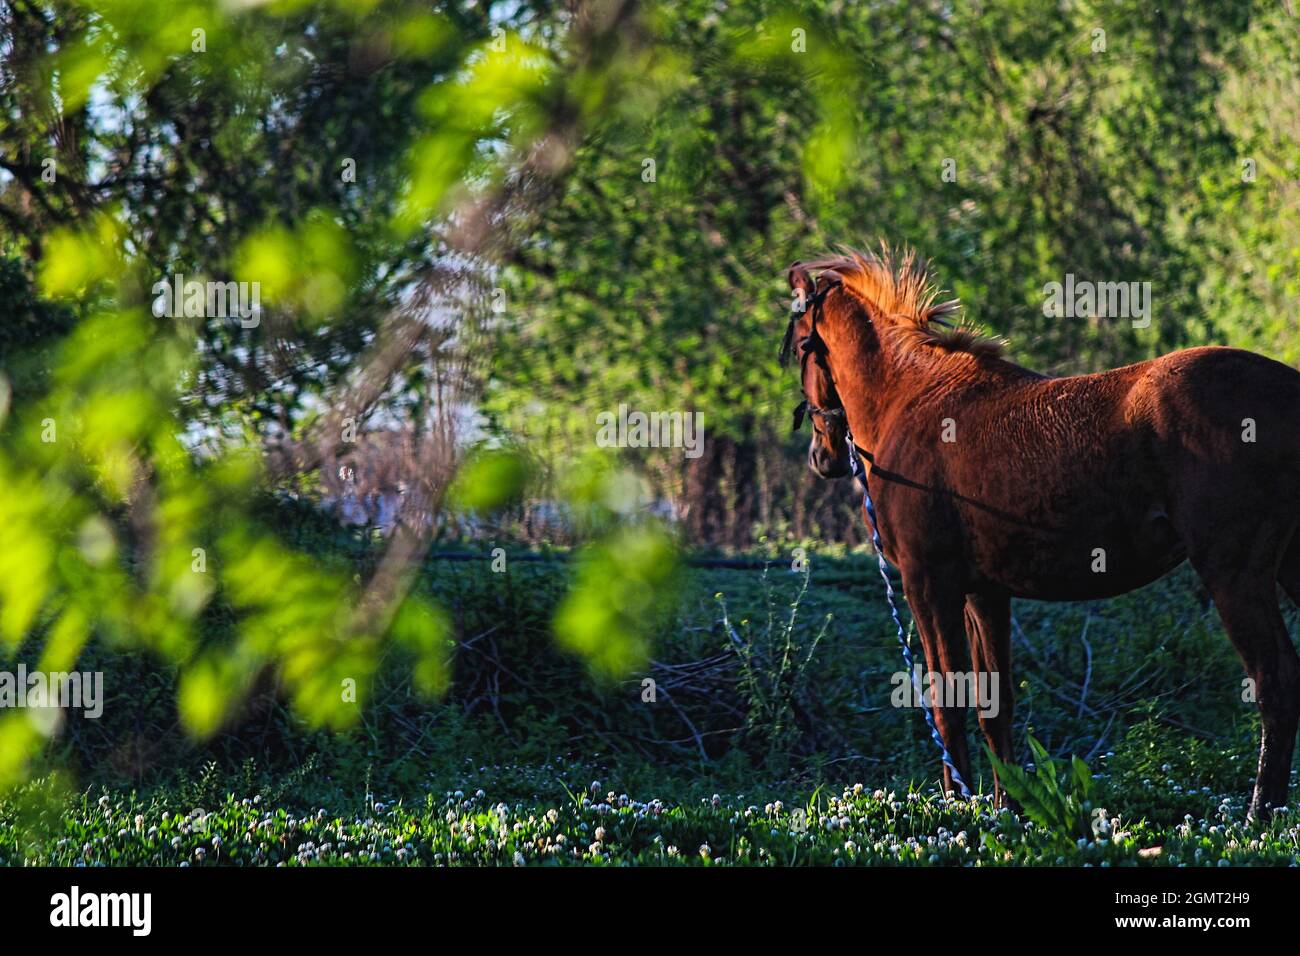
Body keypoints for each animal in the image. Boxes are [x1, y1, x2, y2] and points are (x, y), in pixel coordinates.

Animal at [784, 246, 1300, 820]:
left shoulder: (928, 586)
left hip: (1234, 573)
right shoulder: (983, 594)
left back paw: (1259, 813)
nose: (822, 456)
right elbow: (994, 704)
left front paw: (956, 806)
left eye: (798, 342)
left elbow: (945, 703)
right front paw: (1005, 806)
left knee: (1276, 682)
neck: (913, 401)